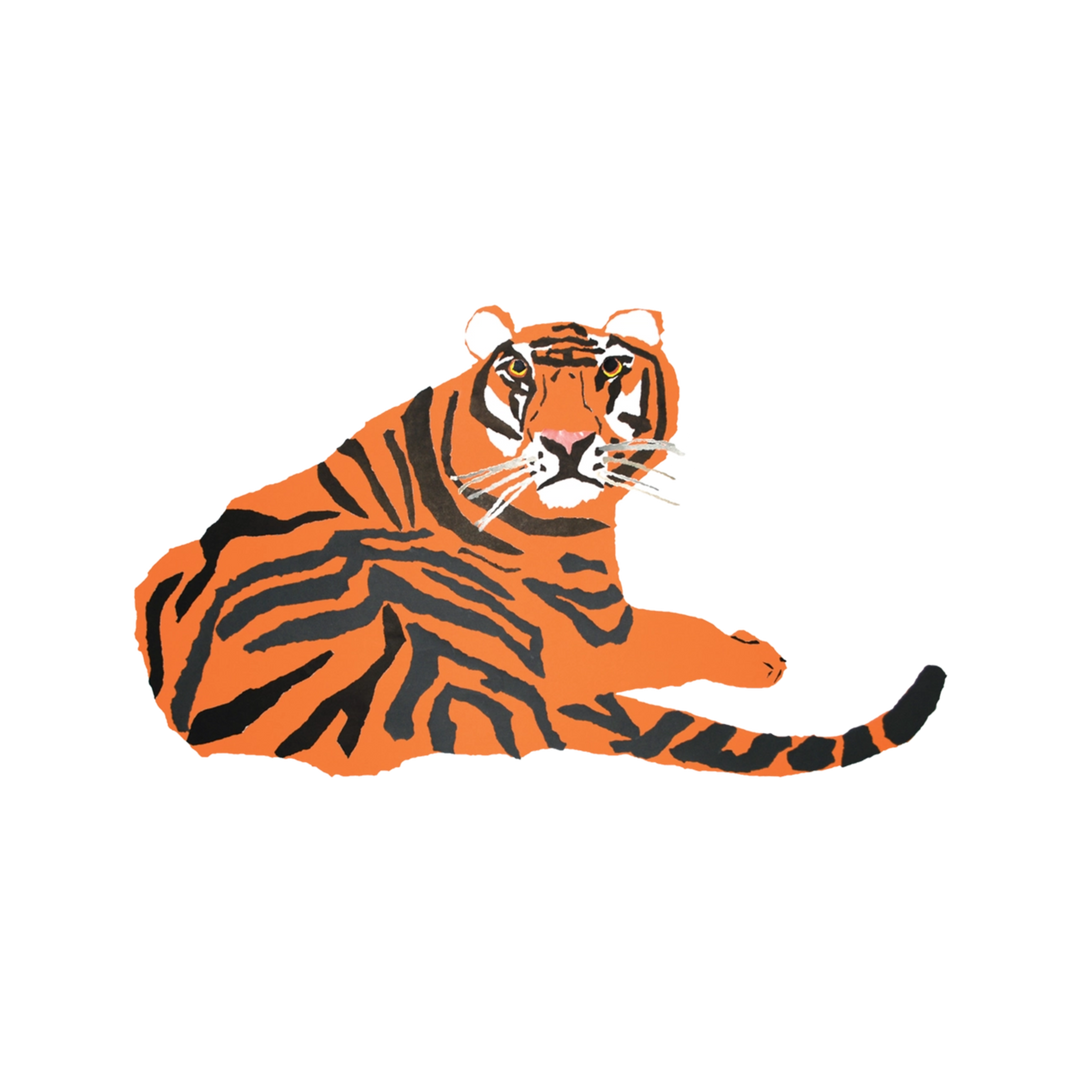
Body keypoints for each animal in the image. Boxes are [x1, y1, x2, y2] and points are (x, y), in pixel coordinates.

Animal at [131, 303, 948, 779]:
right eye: (519, 374)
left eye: (613, 368)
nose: (565, 444)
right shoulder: (590, 628)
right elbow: (672, 630)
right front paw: (759, 657)